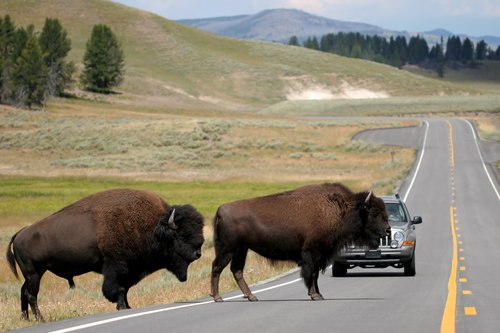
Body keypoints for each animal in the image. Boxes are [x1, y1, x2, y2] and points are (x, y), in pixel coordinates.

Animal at [4, 188, 204, 320]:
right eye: (183, 235)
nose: (198, 253)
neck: (153, 228)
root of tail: (20, 233)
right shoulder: (116, 268)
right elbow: (117, 289)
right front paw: (122, 307)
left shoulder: (130, 271)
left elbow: (125, 289)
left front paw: (127, 305)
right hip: (34, 273)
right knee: (32, 294)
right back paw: (40, 319)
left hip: (33, 274)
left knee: (23, 291)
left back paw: (25, 318)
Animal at [211, 182, 390, 300]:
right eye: (374, 212)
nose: (388, 230)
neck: (341, 208)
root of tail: (220, 210)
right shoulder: (312, 253)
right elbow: (311, 273)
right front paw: (315, 295)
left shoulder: (320, 255)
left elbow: (315, 274)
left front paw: (319, 294)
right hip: (228, 250)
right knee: (217, 267)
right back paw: (217, 297)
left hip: (241, 250)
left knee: (236, 270)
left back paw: (251, 296)